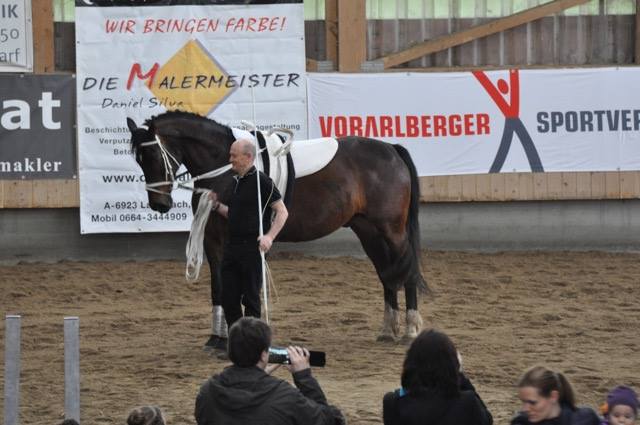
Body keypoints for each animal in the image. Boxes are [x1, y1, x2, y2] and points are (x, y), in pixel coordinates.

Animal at [127, 111, 428, 342]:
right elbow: (219, 288)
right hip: (369, 231)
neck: (226, 169)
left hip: (392, 231)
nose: (159, 205)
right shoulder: (213, 240)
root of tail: (391, 149)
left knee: (407, 270)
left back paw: (411, 328)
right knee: (387, 273)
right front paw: (217, 338)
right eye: (138, 160)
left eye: (153, 155)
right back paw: (388, 330)